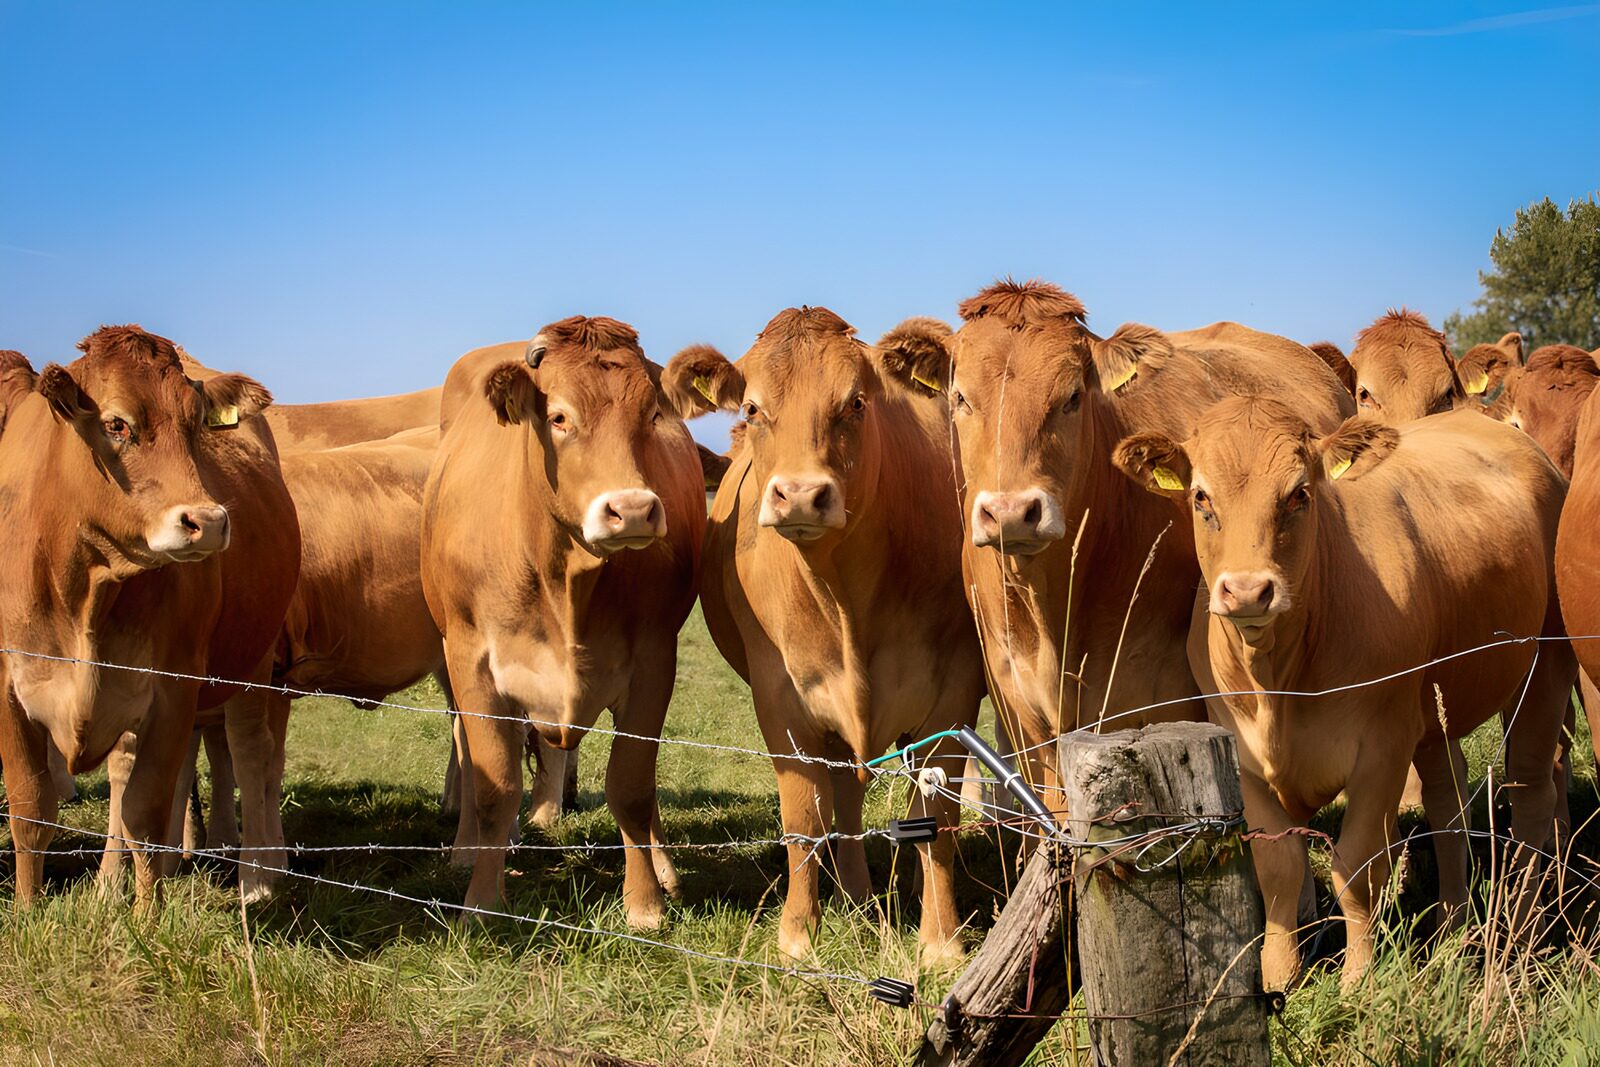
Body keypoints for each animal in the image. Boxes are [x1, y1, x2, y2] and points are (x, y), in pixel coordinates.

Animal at [0, 327, 299, 907]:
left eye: (195, 424)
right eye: (116, 424)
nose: (208, 521)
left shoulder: (173, 687)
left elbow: (146, 812)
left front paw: (147, 917)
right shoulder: (7, 686)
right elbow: (30, 809)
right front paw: (26, 908)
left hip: (251, 663)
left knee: (249, 755)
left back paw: (256, 879)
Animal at [421, 316, 704, 930]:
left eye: (651, 415)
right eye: (559, 417)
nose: (633, 509)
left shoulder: (654, 662)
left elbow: (632, 786)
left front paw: (645, 903)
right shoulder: (472, 661)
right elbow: (494, 787)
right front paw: (481, 902)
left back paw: (667, 870)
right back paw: (465, 851)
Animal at [660, 306, 985, 965]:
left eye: (856, 403)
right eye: (752, 407)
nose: (802, 495)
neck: (844, 597)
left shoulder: (955, 698)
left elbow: (936, 822)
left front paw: (942, 943)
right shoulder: (781, 698)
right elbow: (805, 817)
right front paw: (797, 936)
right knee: (844, 799)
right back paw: (855, 896)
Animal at [1113, 398, 1573, 989]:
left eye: (1299, 494)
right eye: (1201, 497)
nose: (1248, 591)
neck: (1278, 682)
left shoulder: (1382, 747)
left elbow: (1356, 868)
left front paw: (1359, 977)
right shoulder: (1242, 757)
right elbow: (1279, 869)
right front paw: (1278, 976)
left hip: (1546, 663)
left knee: (1532, 792)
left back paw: (1519, 926)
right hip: (1435, 709)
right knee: (1448, 799)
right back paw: (1452, 927)